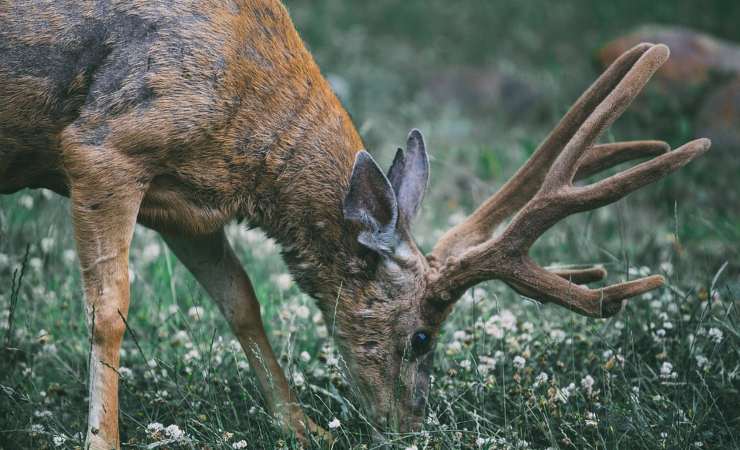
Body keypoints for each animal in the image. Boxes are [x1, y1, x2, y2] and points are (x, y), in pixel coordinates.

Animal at [1, 1, 712, 448]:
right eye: (422, 337)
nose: (411, 426)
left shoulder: (184, 203)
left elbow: (241, 301)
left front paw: (302, 428)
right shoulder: (104, 146)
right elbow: (109, 311)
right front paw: (103, 440)